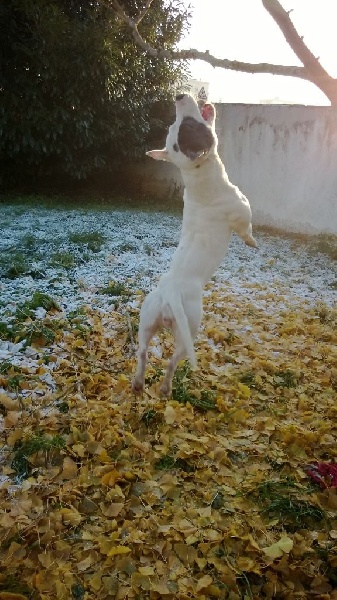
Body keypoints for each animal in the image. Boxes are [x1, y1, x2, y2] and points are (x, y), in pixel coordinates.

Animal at [131, 92, 255, 394]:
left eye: (179, 126)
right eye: (190, 126)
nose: (179, 95)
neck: (197, 175)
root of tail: (170, 295)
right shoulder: (242, 216)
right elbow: (247, 230)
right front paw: (253, 243)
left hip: (146, 321)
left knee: (142, 352)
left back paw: (139, 383)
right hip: (189, 329)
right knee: (172, 362)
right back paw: (165, 387)